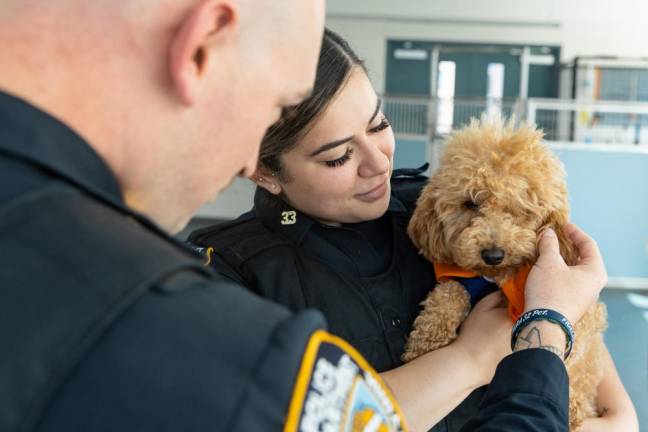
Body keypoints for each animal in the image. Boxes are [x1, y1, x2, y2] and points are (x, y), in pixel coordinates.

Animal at [404, 116, 608, 430]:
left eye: (522, 207)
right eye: (471, 203)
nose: (493, 255)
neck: (495, 279)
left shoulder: (585, 317)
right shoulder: (462, 278)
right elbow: (448, 294)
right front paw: (425, 345)